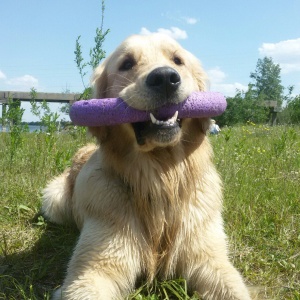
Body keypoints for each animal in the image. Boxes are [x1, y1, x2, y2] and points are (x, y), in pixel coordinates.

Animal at [42, 34, 252, 298]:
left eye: (177, 60)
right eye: (127, 63)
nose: (165, 78)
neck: (162, 175)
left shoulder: (210, 258)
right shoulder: (94, 269)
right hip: (54, 199)